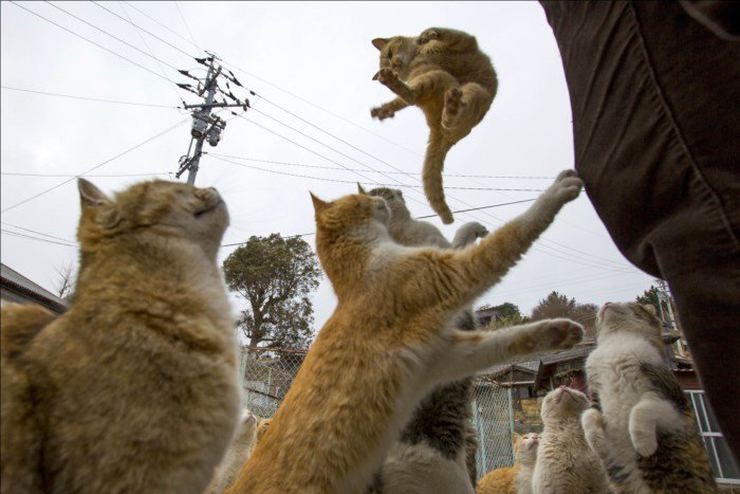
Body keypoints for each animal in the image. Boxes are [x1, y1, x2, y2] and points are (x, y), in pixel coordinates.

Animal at [371, 27, 498, 224]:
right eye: (388, 63)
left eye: (390, 54)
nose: (391, 68)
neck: (417, 56)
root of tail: (437, 129)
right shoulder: (422, 73)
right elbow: (446, 33)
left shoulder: (465, 41)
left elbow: (441, 32)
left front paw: (427, 36)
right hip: (443, 80)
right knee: (417, 99)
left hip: (460, 86)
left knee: (416, 99)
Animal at [581, 302, 717, 493]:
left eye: (627, 303)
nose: (607, 302)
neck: (617, 343)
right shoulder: (594, 397)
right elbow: (587, 416)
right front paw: (598, 445)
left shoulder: (672, 401)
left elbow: (641, 409)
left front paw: (644, 446)